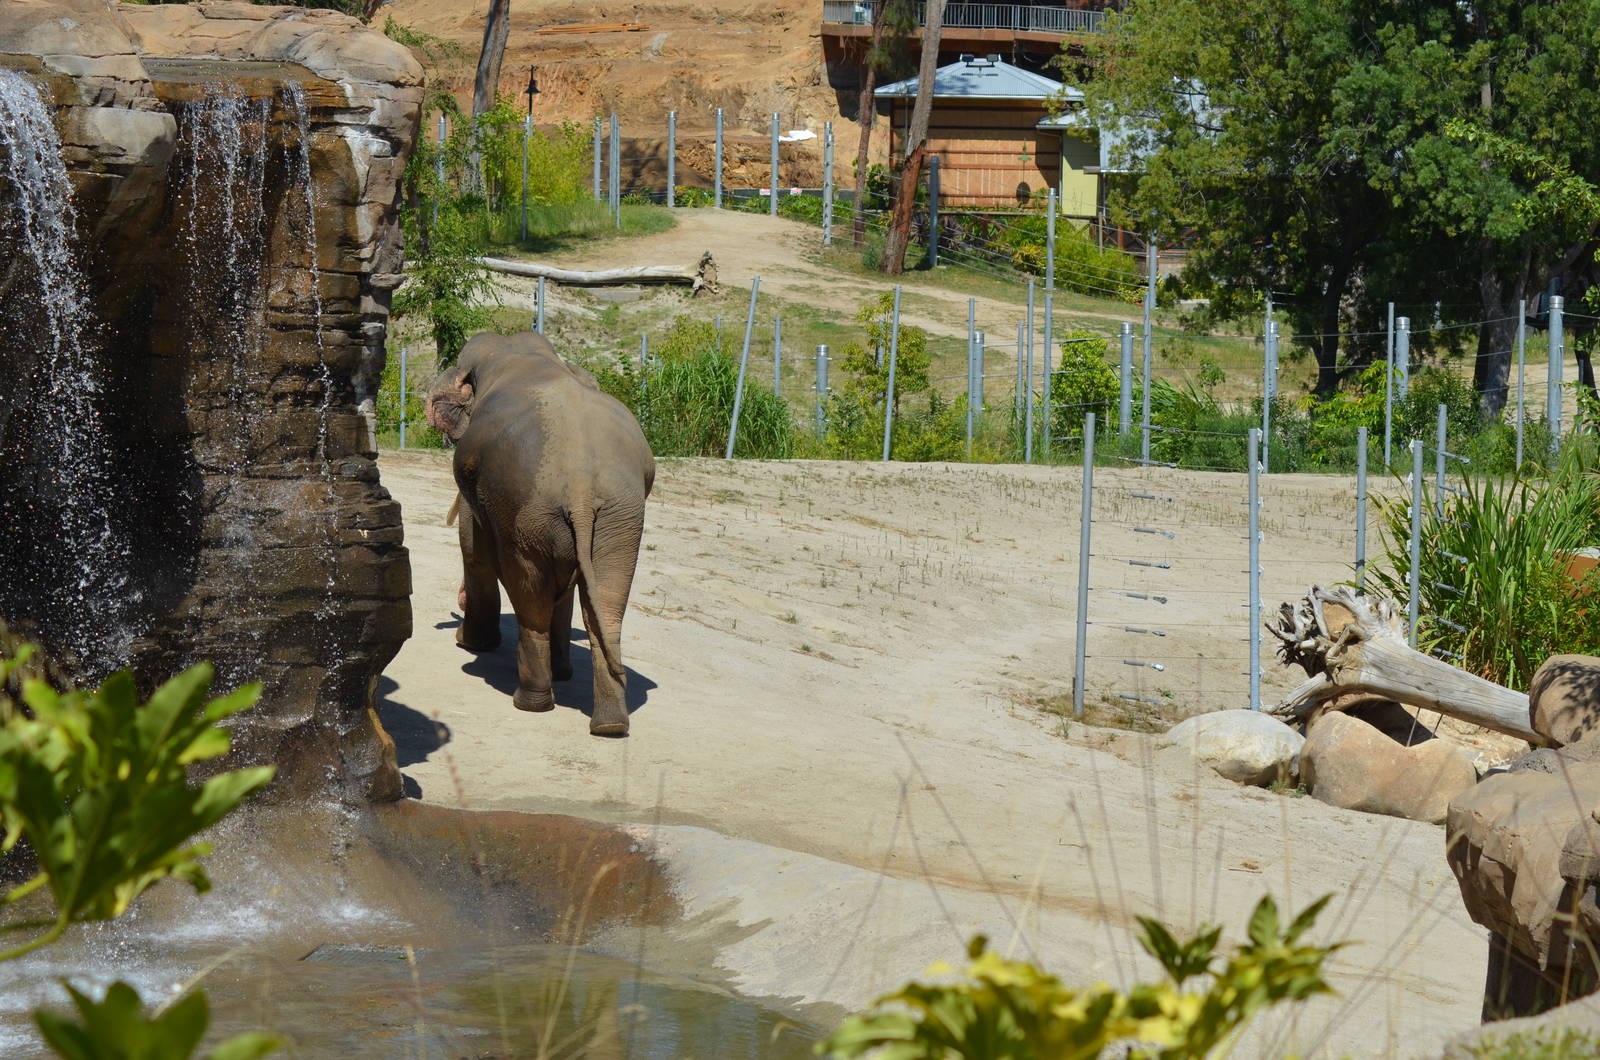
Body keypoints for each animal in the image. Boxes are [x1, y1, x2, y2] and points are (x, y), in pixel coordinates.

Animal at [425, 332, 654, 735]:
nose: (457, 602)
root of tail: (580, 486)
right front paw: (563, 672)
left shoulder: (475, 487)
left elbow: (474, 552)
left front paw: (469, 644)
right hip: (619, 517)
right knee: (606, 601)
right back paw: (610, 725)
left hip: (526, 512)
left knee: (528, 592)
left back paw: (530, 702)